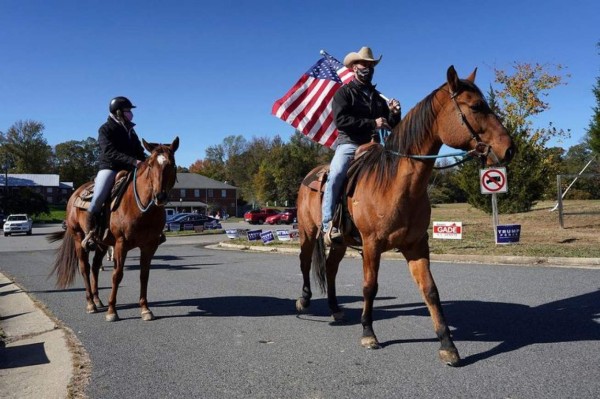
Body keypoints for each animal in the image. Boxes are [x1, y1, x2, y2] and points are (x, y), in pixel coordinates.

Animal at [49, 138, 178, 322]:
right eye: (150, 164)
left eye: (172, 164)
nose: (159, 196)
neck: (142, 208)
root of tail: (75, 194)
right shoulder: (120, 244)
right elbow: (117, 275)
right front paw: (112, 311)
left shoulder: (150, 245)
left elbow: (144, 275)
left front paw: (145, 309)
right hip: (79, 238)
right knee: (85, 267)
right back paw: (91, 304)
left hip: (102, 244)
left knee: (95, 267)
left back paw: (97, 299)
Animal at [296, 66, 516, 368]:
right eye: (476, 106)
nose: (509, 148)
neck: (394, 184)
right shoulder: (371, 246)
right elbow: (369, 287)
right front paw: (368, 333)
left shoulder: (416, 245)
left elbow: (431, 291)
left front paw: (448, 346)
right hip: (307, 232)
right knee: (306, 262)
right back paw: (304, 300)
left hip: (340, 242)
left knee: (330, 268)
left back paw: (335, 309)